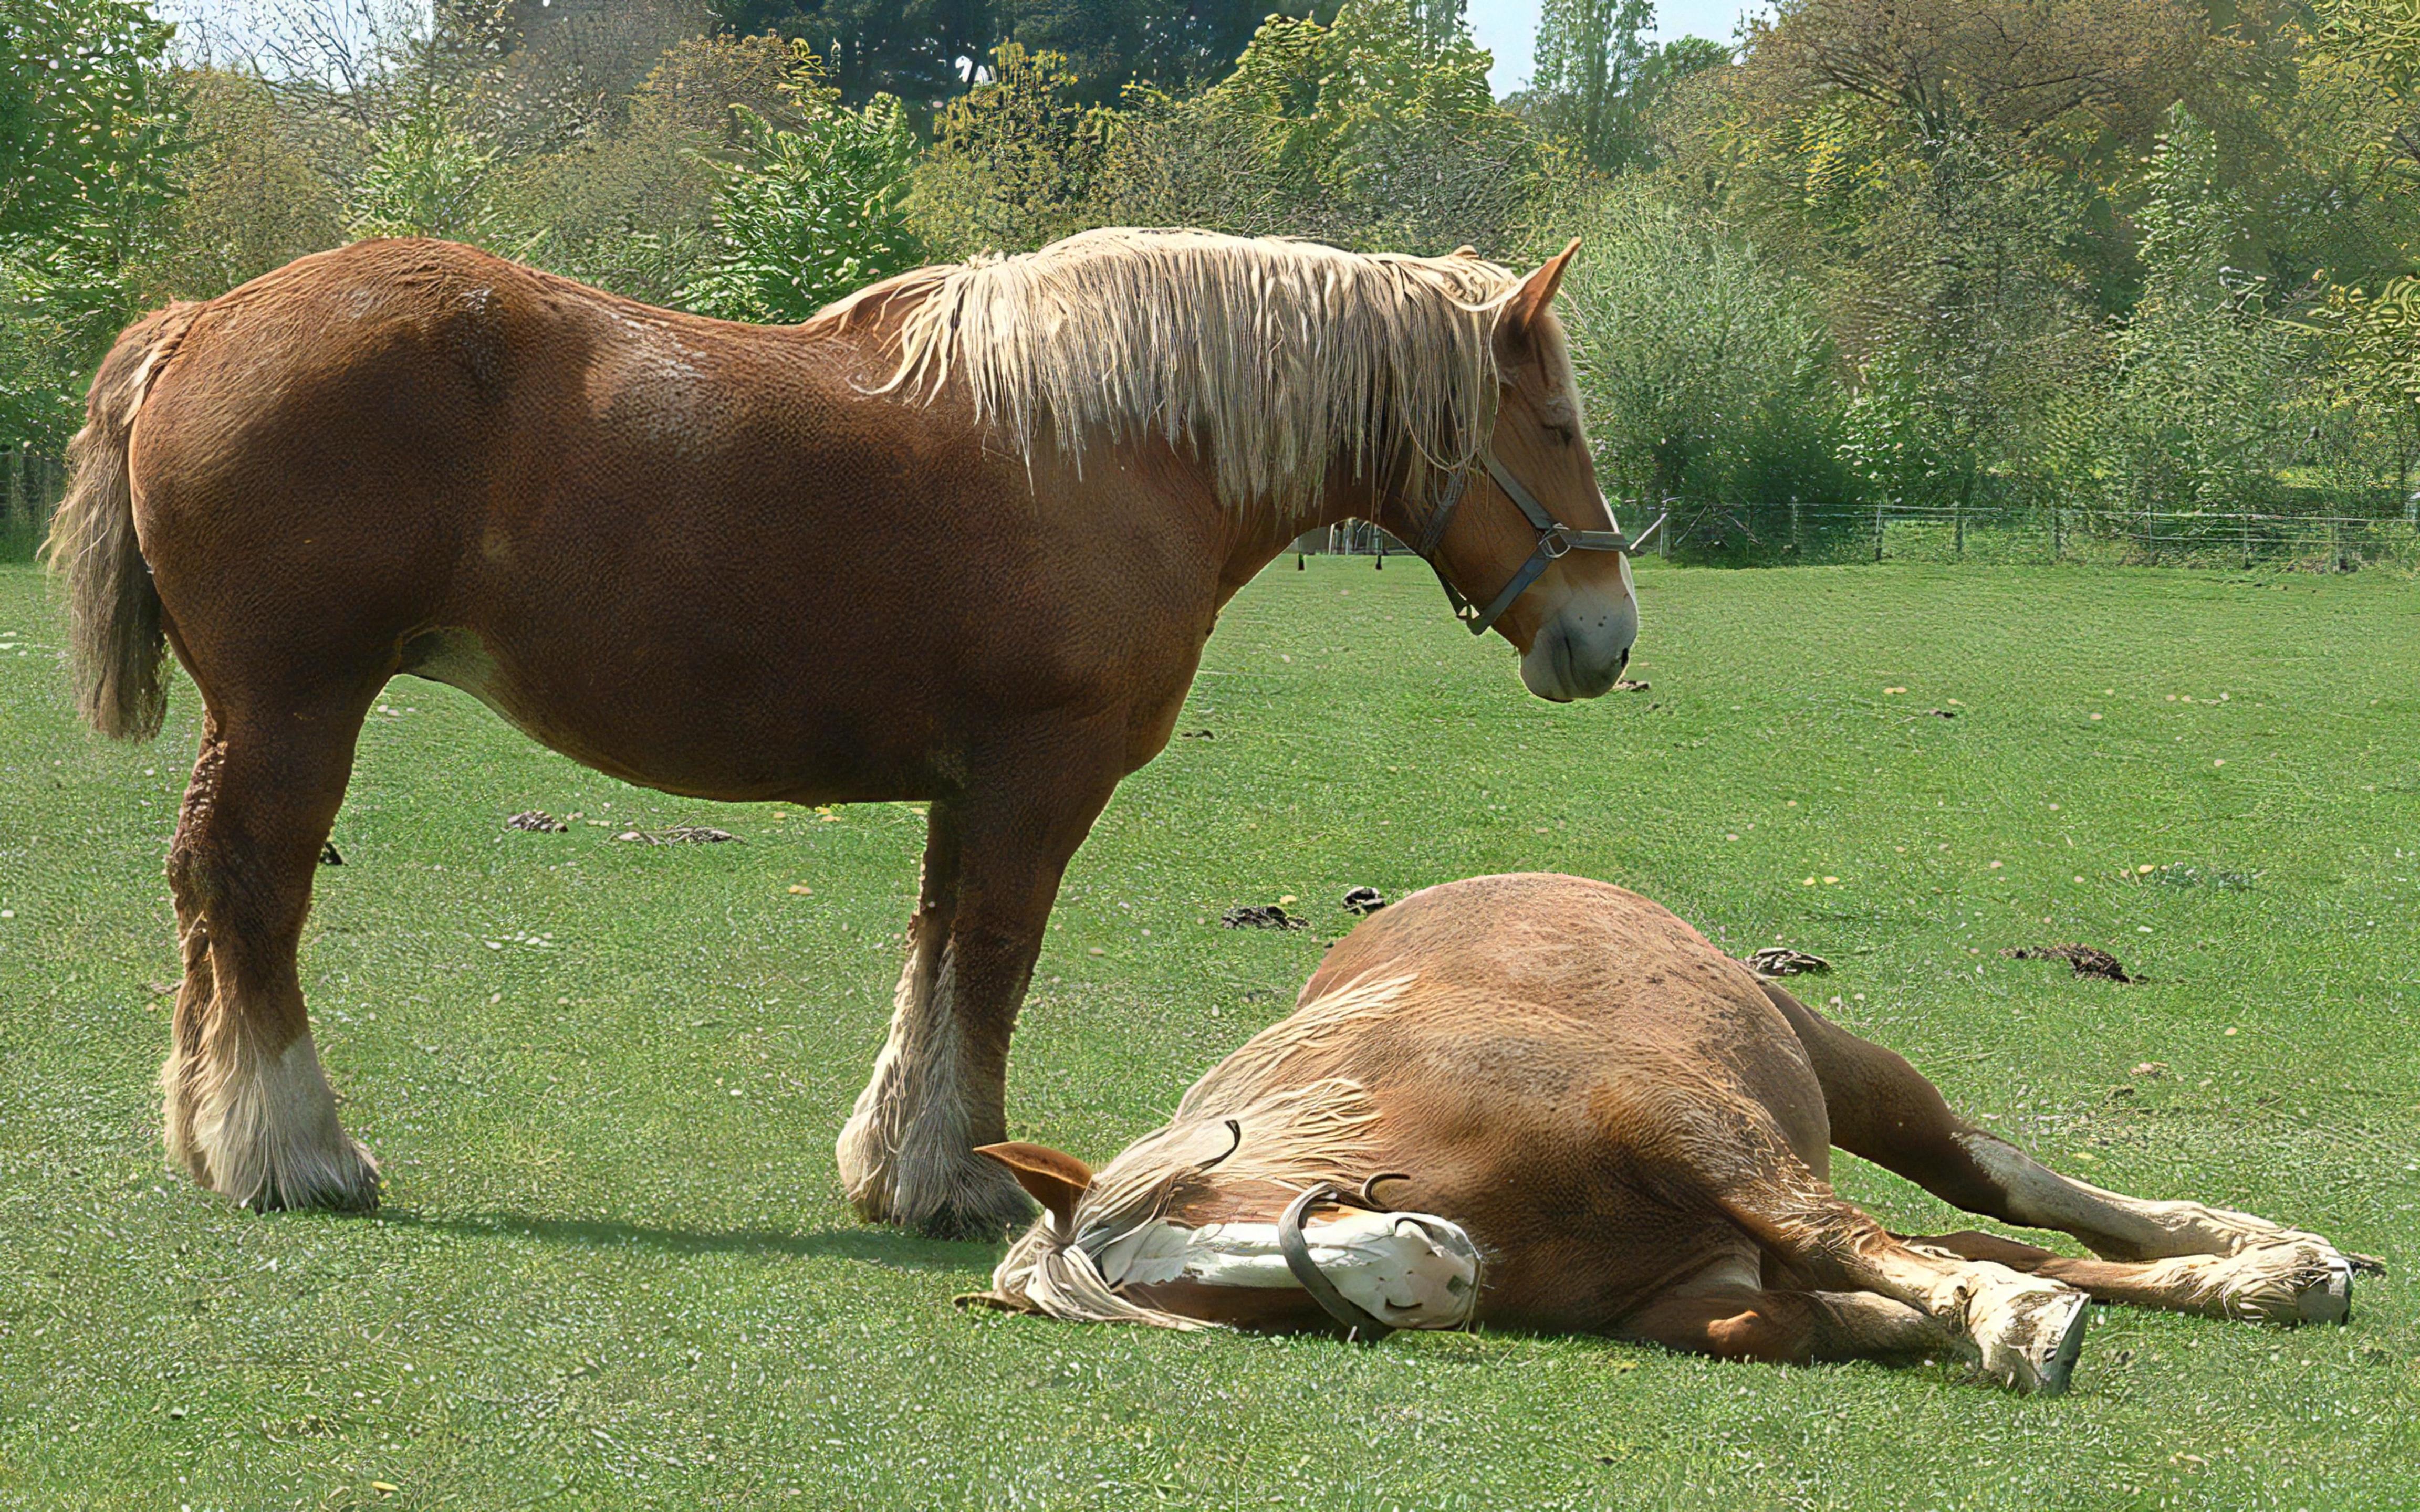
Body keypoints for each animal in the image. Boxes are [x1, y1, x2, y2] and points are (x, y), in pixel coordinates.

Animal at [47, 229, 1645, 1234]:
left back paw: (213, 1137)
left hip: (260, 716)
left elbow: (935, 954)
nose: (1606, 634)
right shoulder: (1040, 773)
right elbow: (994, 959)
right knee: (252, 894)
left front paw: (901, 1166)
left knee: (206, 894)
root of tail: (203, 322)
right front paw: (967, 1178)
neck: (1117, 445)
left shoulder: (968, 783)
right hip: (298, 709)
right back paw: (293, 1151)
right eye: (1559, 426)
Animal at [973, 870, 2371, 1393]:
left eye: (1203, 1206)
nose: (1424, 1270)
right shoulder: (1697, 1284)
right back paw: (2263, 1277)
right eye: (1217, 1303)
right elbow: (1807, 1307)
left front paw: (2010, 1327)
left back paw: (2239, 1246)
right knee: (1977, 1233)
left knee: (1997, 1183)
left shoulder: (1688, 1125)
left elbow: (1849, 1238)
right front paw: (1934, 1320)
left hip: (1843, 1069)